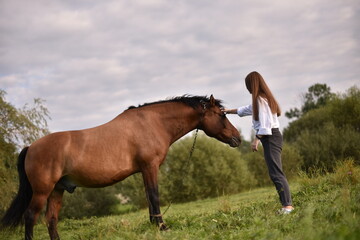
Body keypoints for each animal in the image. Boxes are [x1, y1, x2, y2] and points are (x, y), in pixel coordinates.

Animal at [1, 94, 242, 239]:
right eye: (221, 115)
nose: (237, 138)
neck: (152, 123)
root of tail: (31, 147)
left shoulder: (145, 170)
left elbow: (148, 197)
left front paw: (153, 225)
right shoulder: (150, 167)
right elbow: (154, 196)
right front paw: (162, 227)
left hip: (57, 189)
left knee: (50, 219)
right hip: (42, 191)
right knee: (30, 216)